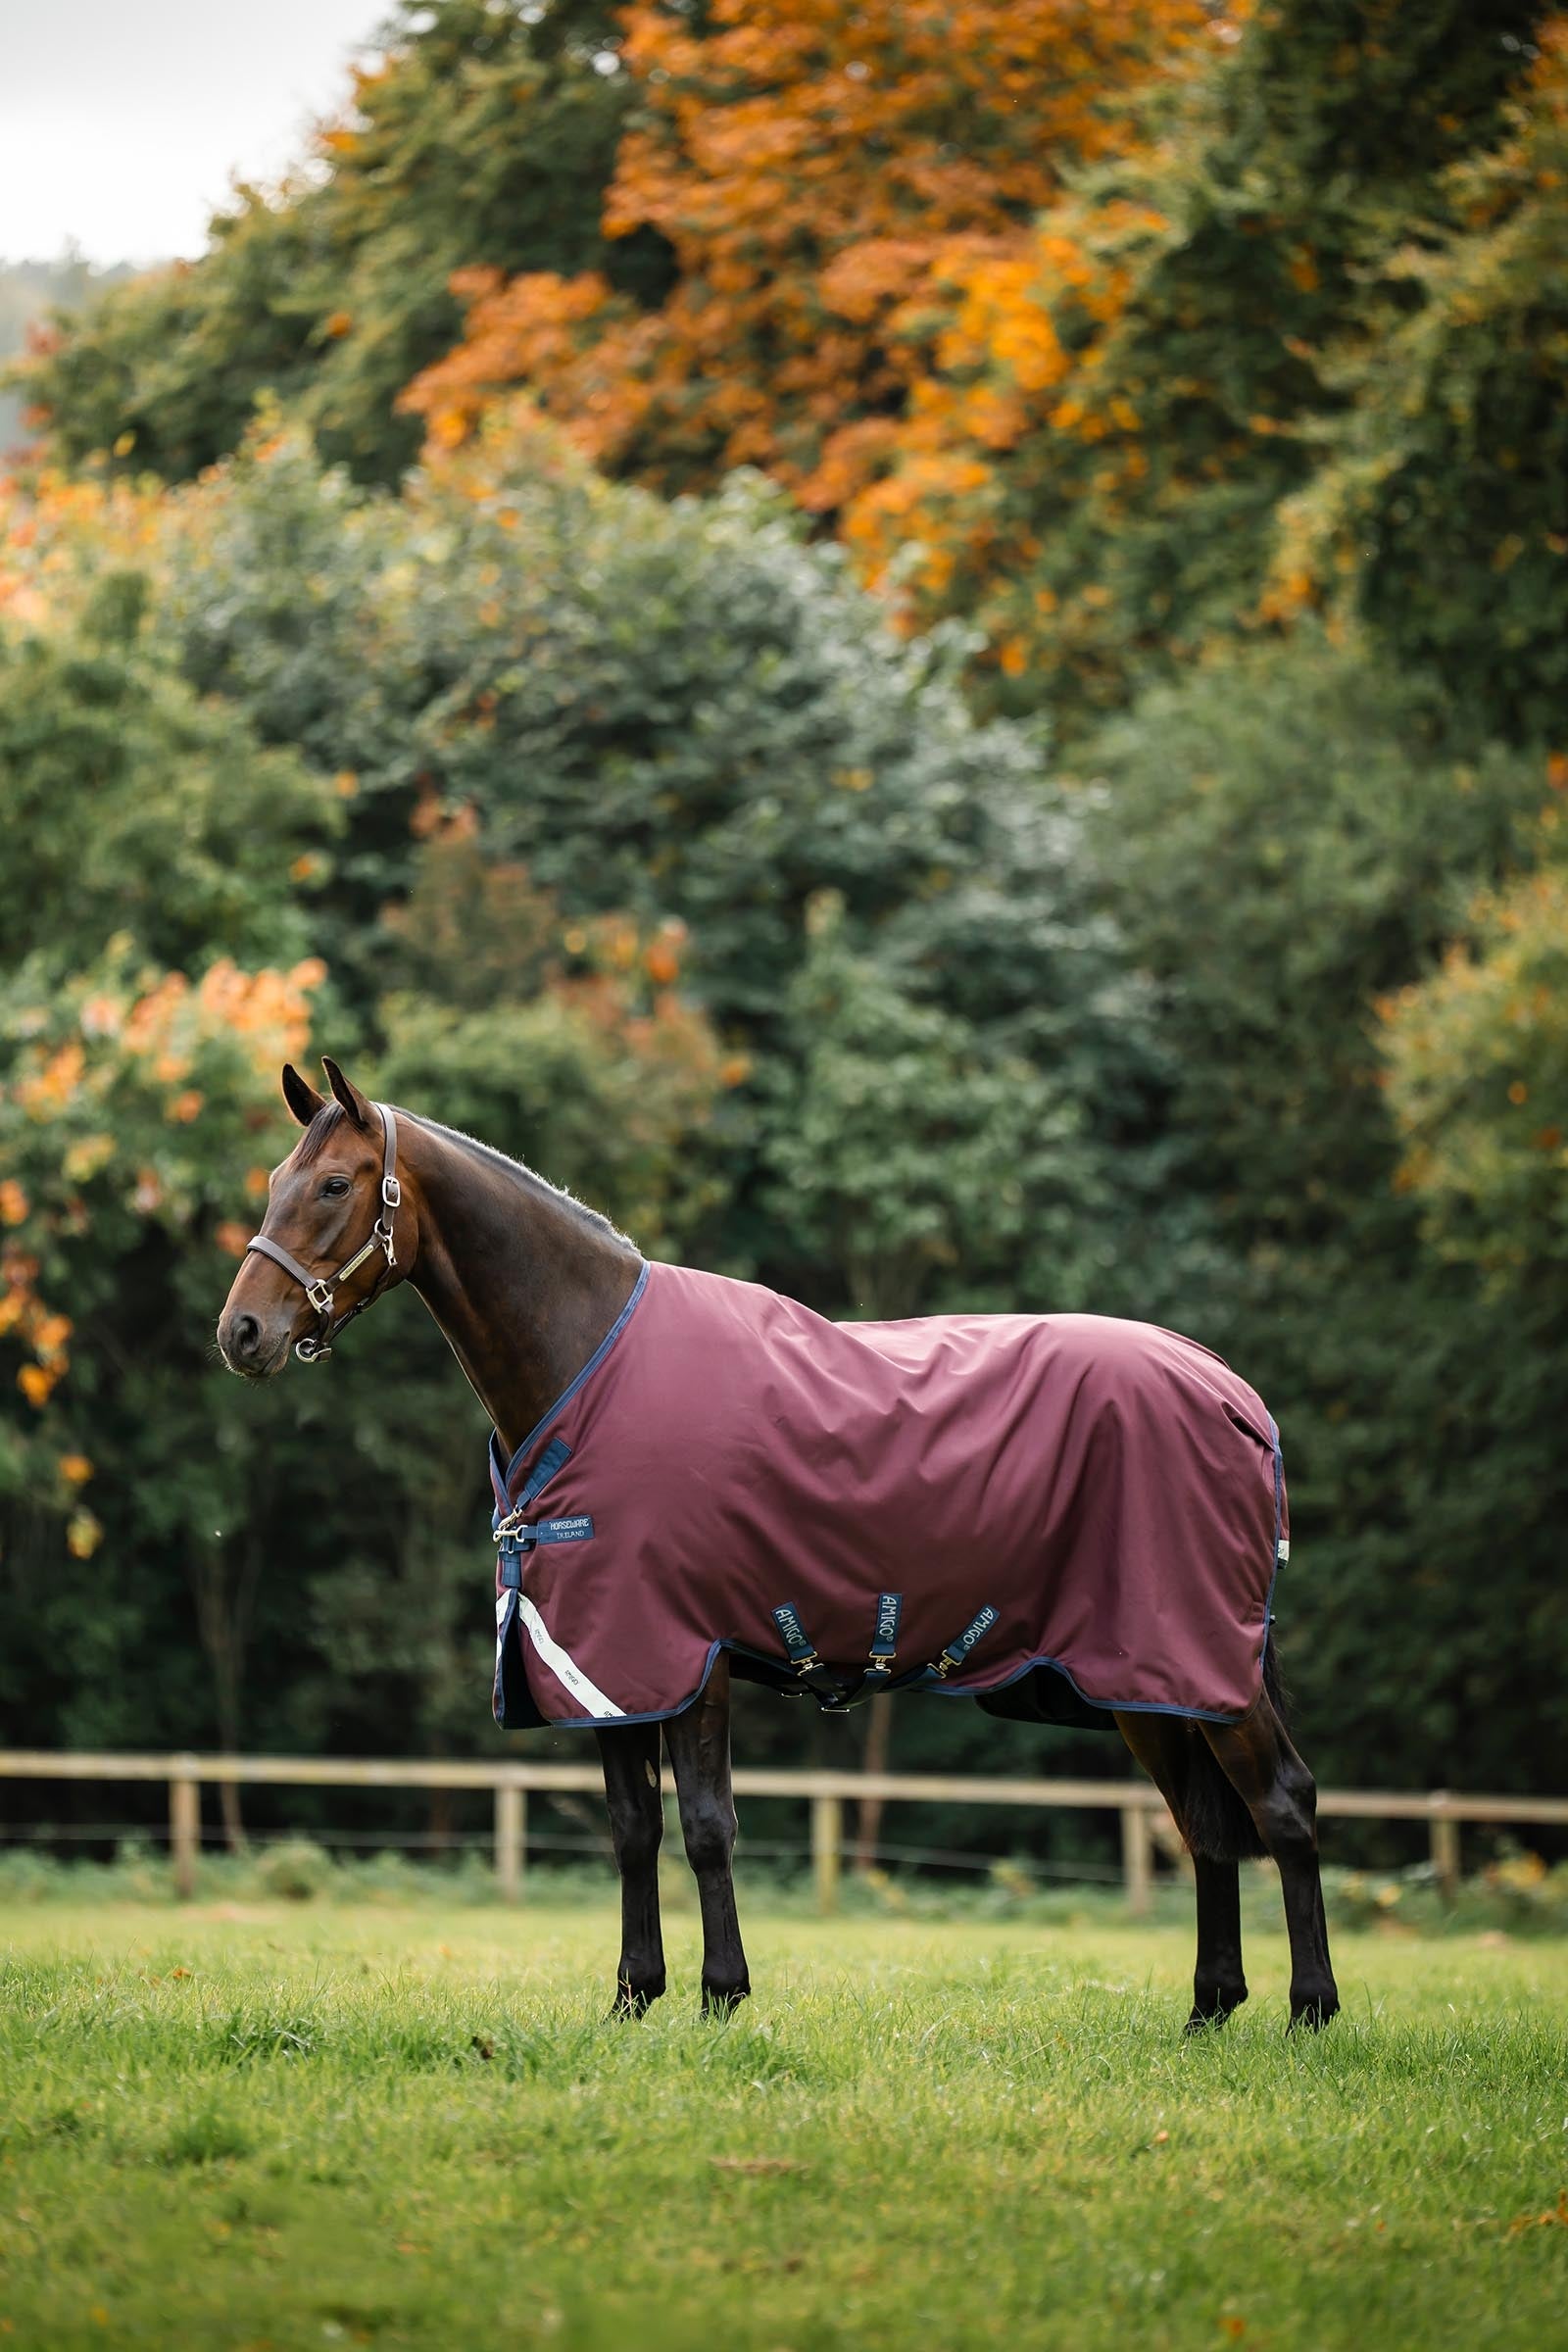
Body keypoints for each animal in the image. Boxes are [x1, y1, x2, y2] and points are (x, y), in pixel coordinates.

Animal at [217, 1058, 1339, 2034]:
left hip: (1201, 1666)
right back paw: (1208, 2012)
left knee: (1281, 1805)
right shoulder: (606, 1665)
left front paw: (722, 1996)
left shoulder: (686, 1654)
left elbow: (708, 1828)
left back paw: (1309, 2013)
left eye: (332, 1184)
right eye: (272, 1183)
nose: (241, 1334)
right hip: (1146, 1684)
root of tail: (1233, 1396)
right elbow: (633, 1831)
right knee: (1203, 1824)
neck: (586, 1359)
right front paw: (633, 1999)